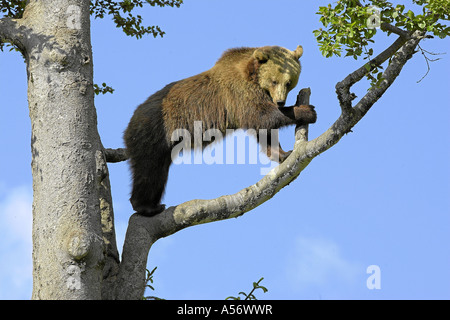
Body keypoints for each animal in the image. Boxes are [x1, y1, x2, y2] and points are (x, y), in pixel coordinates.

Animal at [123, 45, 316, 216]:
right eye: (274, 80)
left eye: (289, 82)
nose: (280, 101)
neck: (251, 74)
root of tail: (130, 121)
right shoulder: (238, 92)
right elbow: (262, 116)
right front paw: (307, 110)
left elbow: (263, 129)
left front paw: (282, 153)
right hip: (154, 132)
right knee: (149, 170)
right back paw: (147, 206)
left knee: (158, 172)